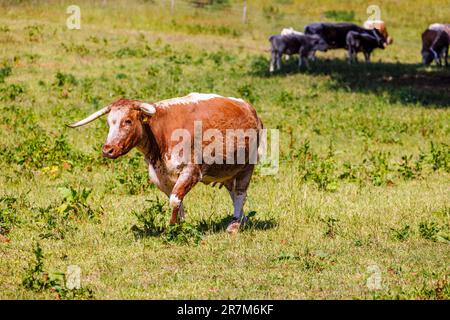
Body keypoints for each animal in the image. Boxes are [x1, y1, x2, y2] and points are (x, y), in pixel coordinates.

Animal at [67, 92, 264, 232]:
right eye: (109, 123)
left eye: (128, 121)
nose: (108, 150)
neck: (160, 135)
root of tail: (249, 108)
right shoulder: (160, 177)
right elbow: (177, 201)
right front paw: (179, 226)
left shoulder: (191, 172)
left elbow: (175, 200)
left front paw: (171, 227)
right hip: (229, 169)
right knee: (234, 194)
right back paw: (242, 219)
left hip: (247, 166)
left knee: (240, 194)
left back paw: (234, 226)